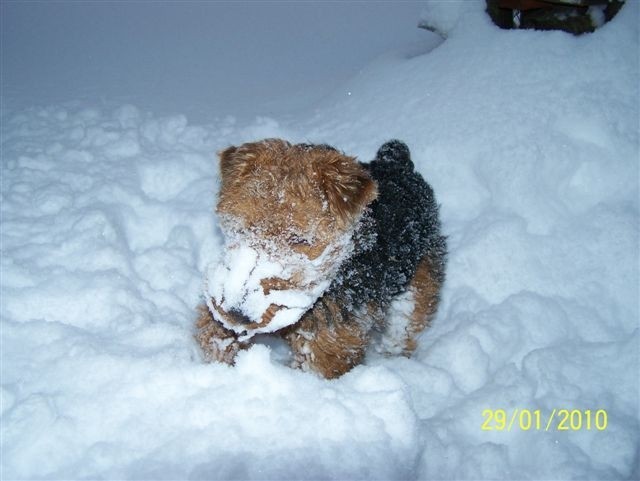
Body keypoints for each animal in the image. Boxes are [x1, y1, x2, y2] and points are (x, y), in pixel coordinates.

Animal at [195, 139, 444, 378]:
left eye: (300, 239)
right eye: (243, 228)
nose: (237, 314)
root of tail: (396, 161)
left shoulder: (327, 346)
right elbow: (214, 337)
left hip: (416, 289)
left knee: (403, 331)